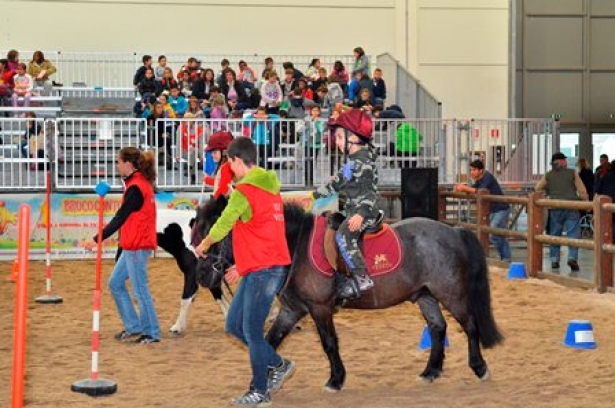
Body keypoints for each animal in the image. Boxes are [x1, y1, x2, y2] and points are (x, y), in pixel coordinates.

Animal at [195, 198, 502, 392]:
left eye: (213, 233)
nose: (201, 276)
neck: (294, 245)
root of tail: (454, 231)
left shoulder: (319, 308)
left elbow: (329, 344)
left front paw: (336, 380)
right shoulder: (292, 310)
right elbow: (271, 340)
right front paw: (264, 380)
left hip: (451, 294)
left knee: (470, 326)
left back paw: (480, 368)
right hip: (424, 295)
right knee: (438, 328)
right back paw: (431, 372)